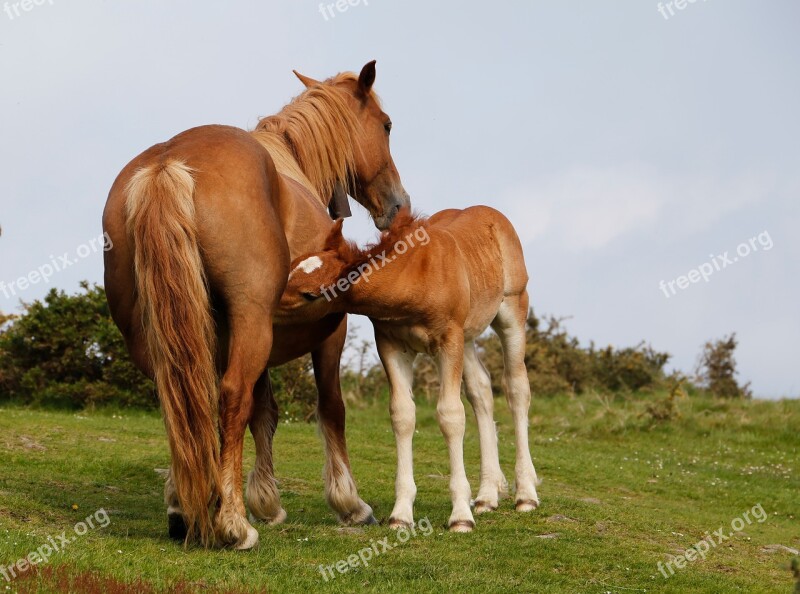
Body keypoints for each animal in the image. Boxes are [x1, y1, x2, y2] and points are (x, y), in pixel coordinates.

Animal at [102, 62, 410, 548]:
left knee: (179, 402)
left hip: (160, 335)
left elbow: (265, 412)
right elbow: (330, 409)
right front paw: (349, 503)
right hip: (252, 322)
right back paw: (232, 522)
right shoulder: (330, 330)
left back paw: (182, 507)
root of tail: (168, 162)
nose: (398, 204)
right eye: (386, 125)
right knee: (231, 396)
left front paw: (266, 500)